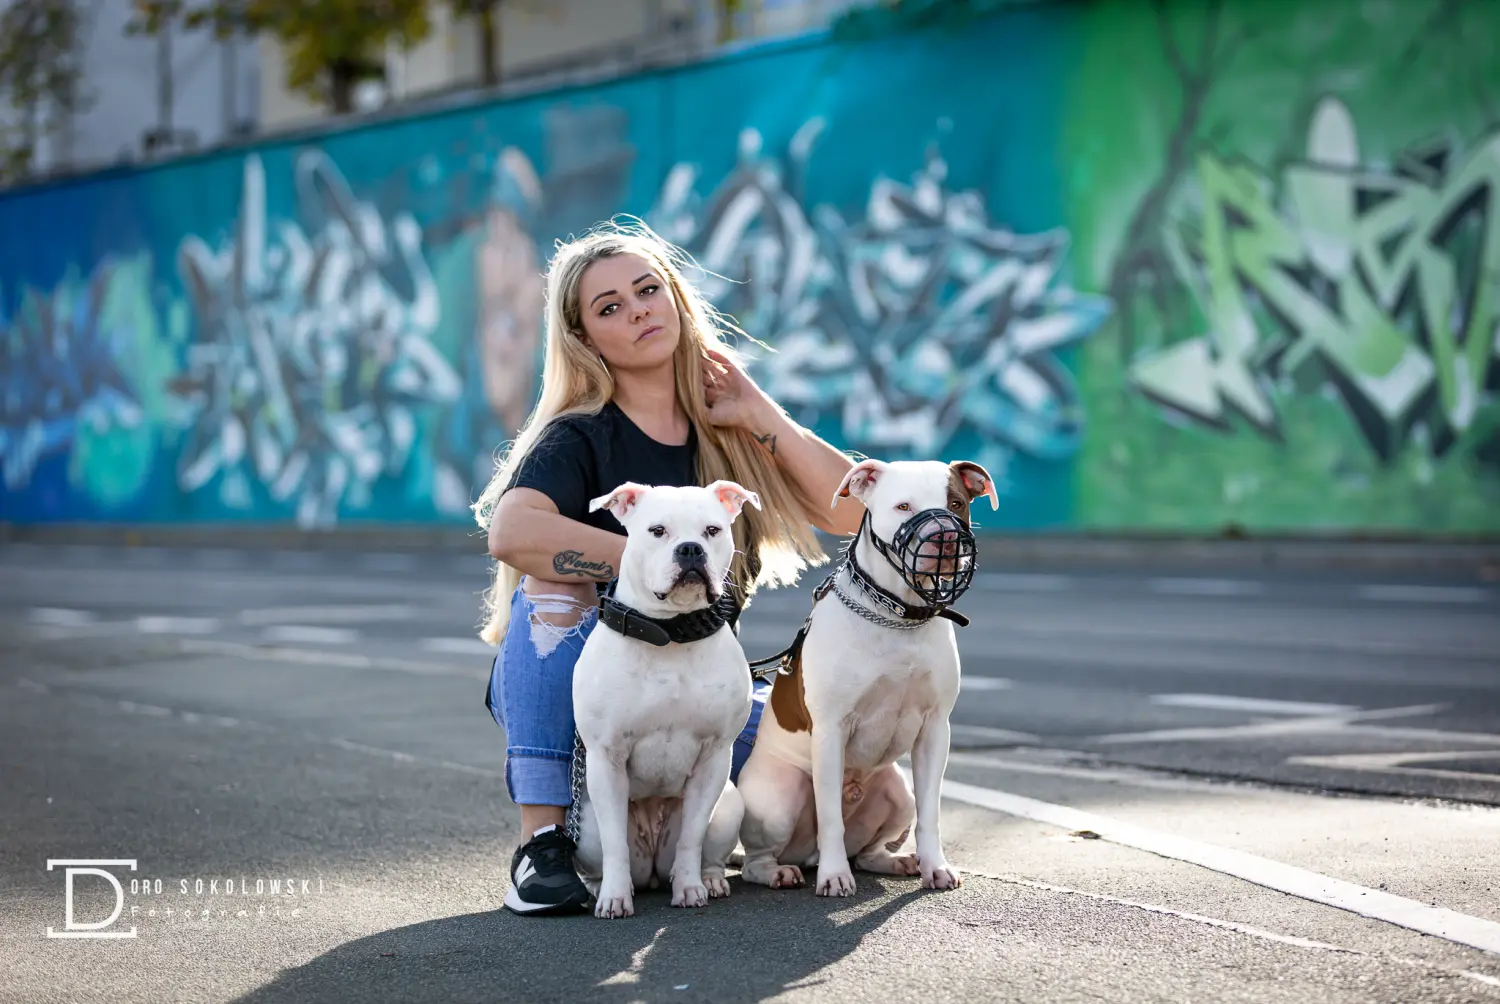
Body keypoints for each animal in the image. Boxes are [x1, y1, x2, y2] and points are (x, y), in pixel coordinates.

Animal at [570, 477, 768, 918]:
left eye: (712, 530)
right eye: (657, 531)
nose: (690, 549)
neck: (672, 633)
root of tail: (653, 872)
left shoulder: (714, 757)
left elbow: (692, 836)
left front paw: (691, 889)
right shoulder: (606, 757)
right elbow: (614, 843)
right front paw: (614, 897)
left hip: (730, 805)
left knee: (703, 852)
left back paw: (708, 881)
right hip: (585, 828)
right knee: (603, 853)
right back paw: (601, 888)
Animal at [735, 459, 996, 894]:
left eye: (956, 503)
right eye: (903, 506)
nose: (945, 539)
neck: (898, 616)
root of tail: (804, 855)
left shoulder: (935, 729)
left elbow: (931, 812)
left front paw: (936, 866)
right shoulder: (830, 729)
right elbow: (830, 819)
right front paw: (834, 876)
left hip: (897, 792)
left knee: (869, 851)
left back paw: (897, 861)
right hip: (780, 799)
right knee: (757, 860)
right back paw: (779, 872)